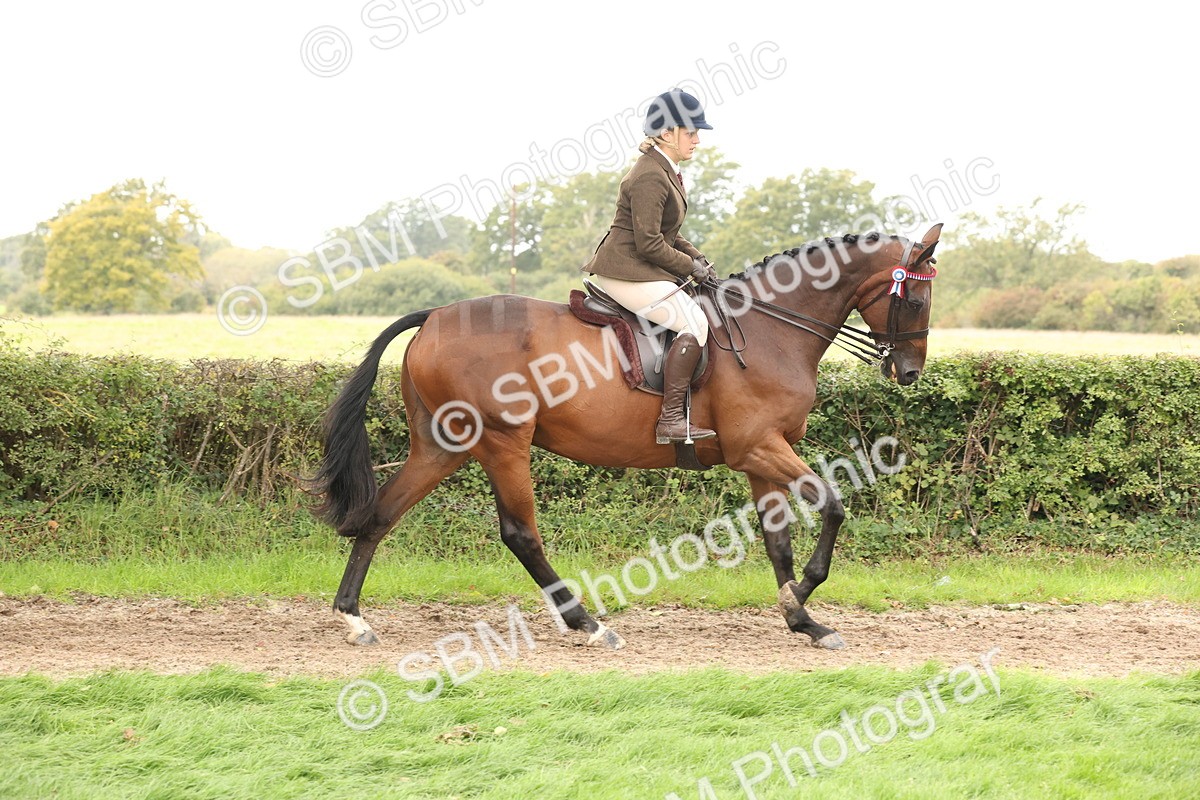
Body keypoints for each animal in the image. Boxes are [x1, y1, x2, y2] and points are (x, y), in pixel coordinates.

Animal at [312, 223, 942, 650]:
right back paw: (588, 624)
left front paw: (802, 619)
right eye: (914, 297)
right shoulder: (760, 447)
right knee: (520, 533)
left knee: (380, 514)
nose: (910, 372)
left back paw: (352, 618)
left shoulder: (762, 457)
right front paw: (804, 595)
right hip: (502, 442)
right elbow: (834, 506)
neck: (771, 328)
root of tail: (437, 315)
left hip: (444, 446)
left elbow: (777, 542)